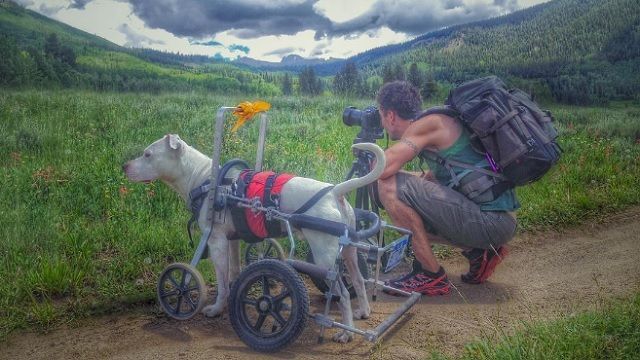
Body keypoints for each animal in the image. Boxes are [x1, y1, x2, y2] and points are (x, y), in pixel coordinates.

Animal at [124, 135, 384, 344]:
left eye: (148, 154)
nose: (124, 165)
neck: (204, 179)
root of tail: (335, 191)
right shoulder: (232, 240)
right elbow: (234, 272)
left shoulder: (215, 242)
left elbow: (220, 282)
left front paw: (215, 308)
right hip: (348, 253)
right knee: (358, 281)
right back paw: (363, 312)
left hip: (325, 258)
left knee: (342, 294)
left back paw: (346, 333)